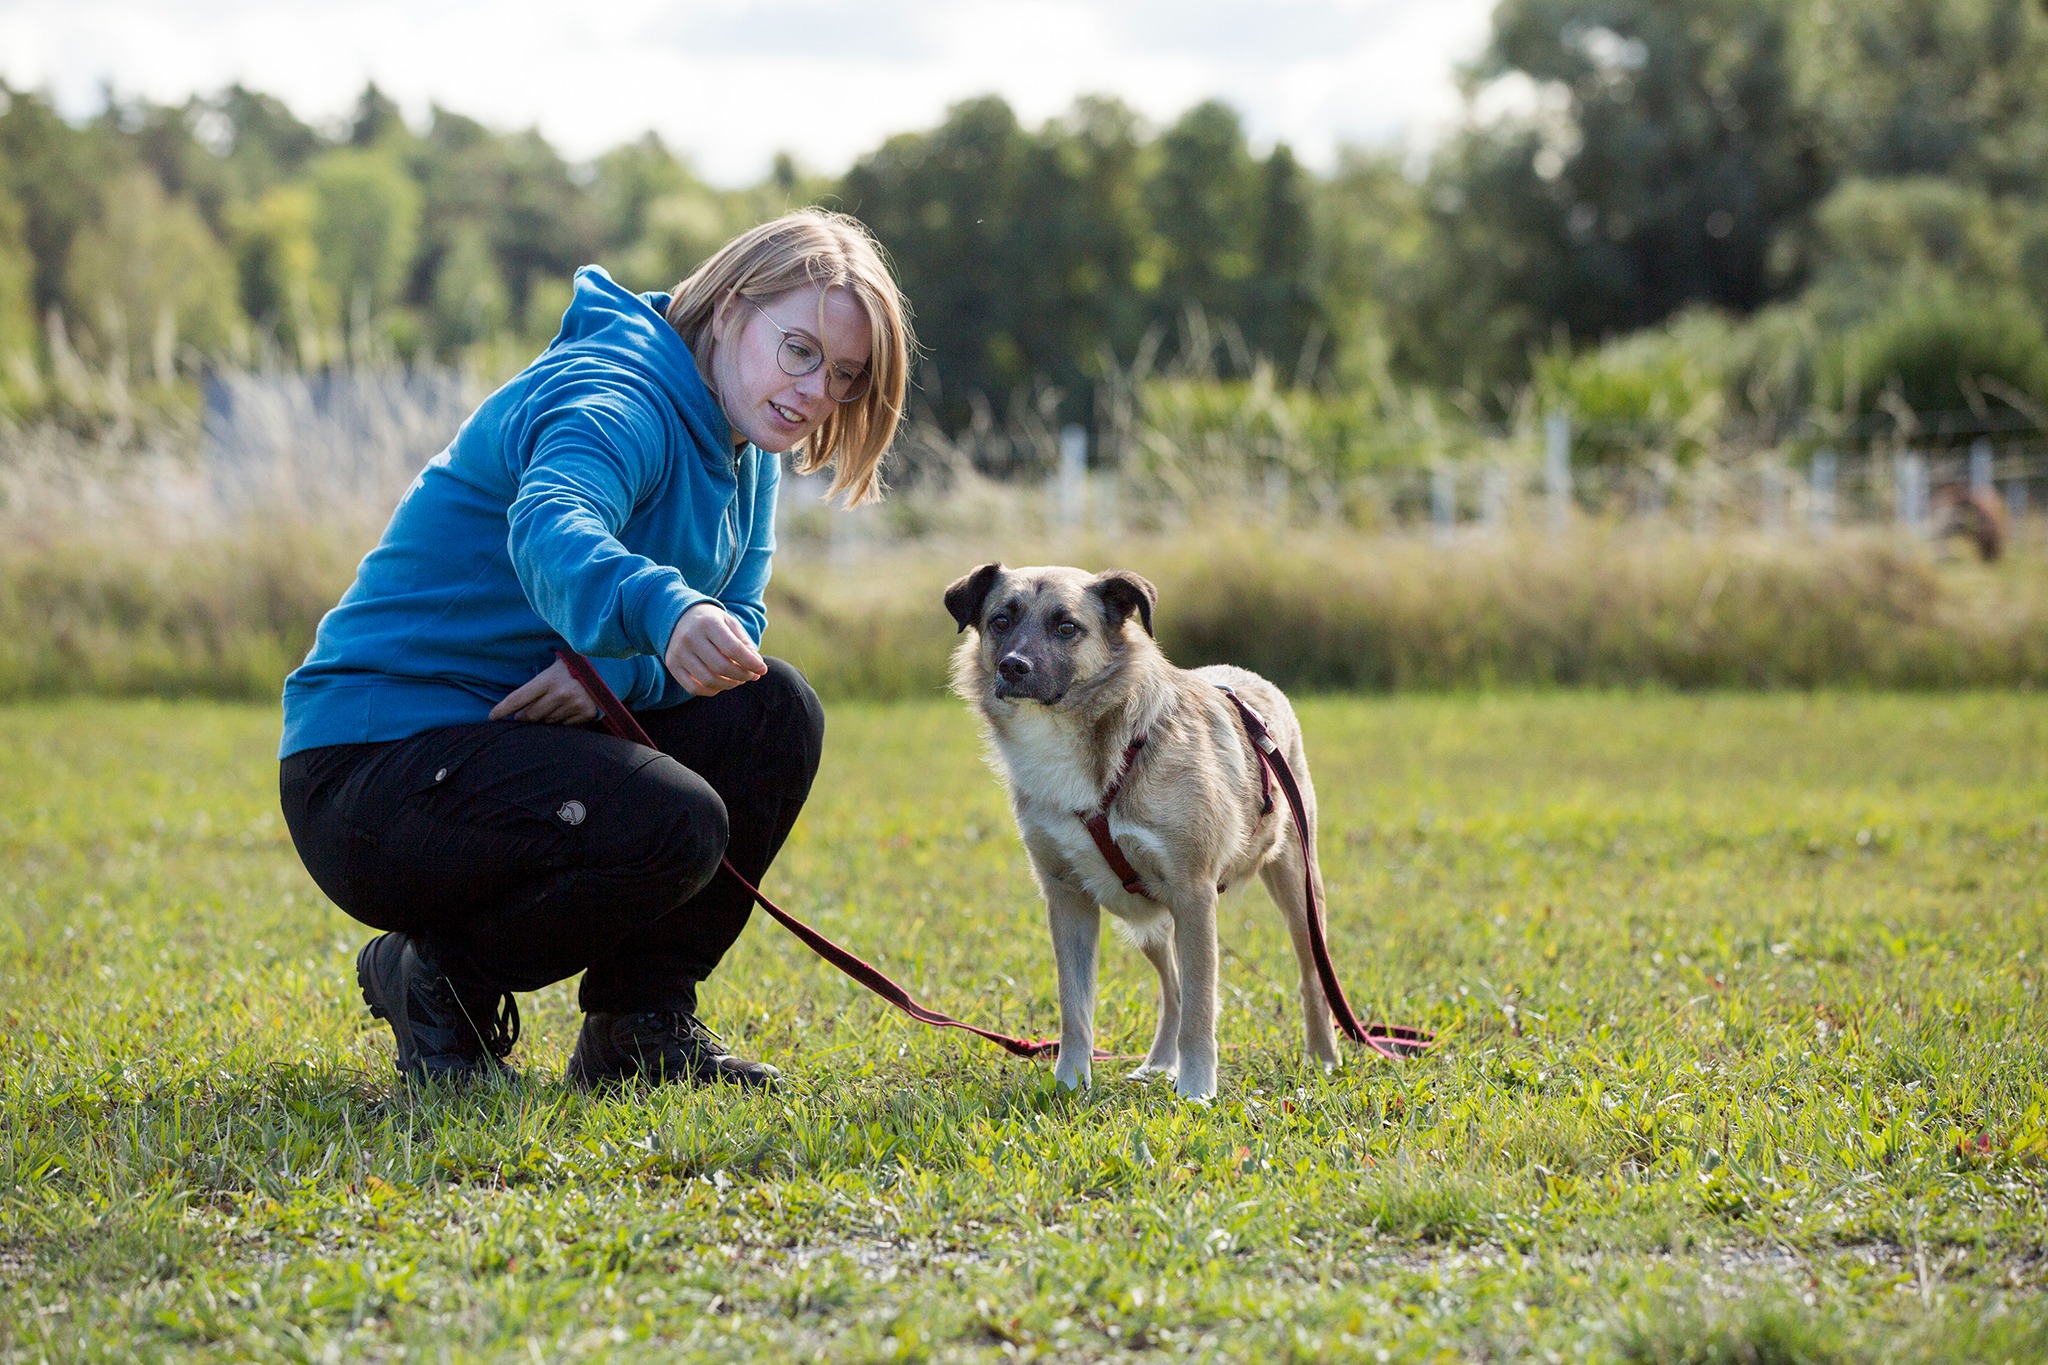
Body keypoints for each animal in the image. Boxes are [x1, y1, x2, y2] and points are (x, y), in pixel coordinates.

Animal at [945, 562, 1341, 1101]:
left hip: (1297, 891)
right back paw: (1158, 1063)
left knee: (1308, 979)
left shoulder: (1194, 894)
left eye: (1066, 627)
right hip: (1147, 922)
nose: (1013, 667)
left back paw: (1322, 1058)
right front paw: (1070, 1085)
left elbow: (1201, 1008)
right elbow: (1076, 1008)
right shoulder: (1067, 898)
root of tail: (1249, 679)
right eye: (1000, 620)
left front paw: (1196, 1090)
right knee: (1172, 988)